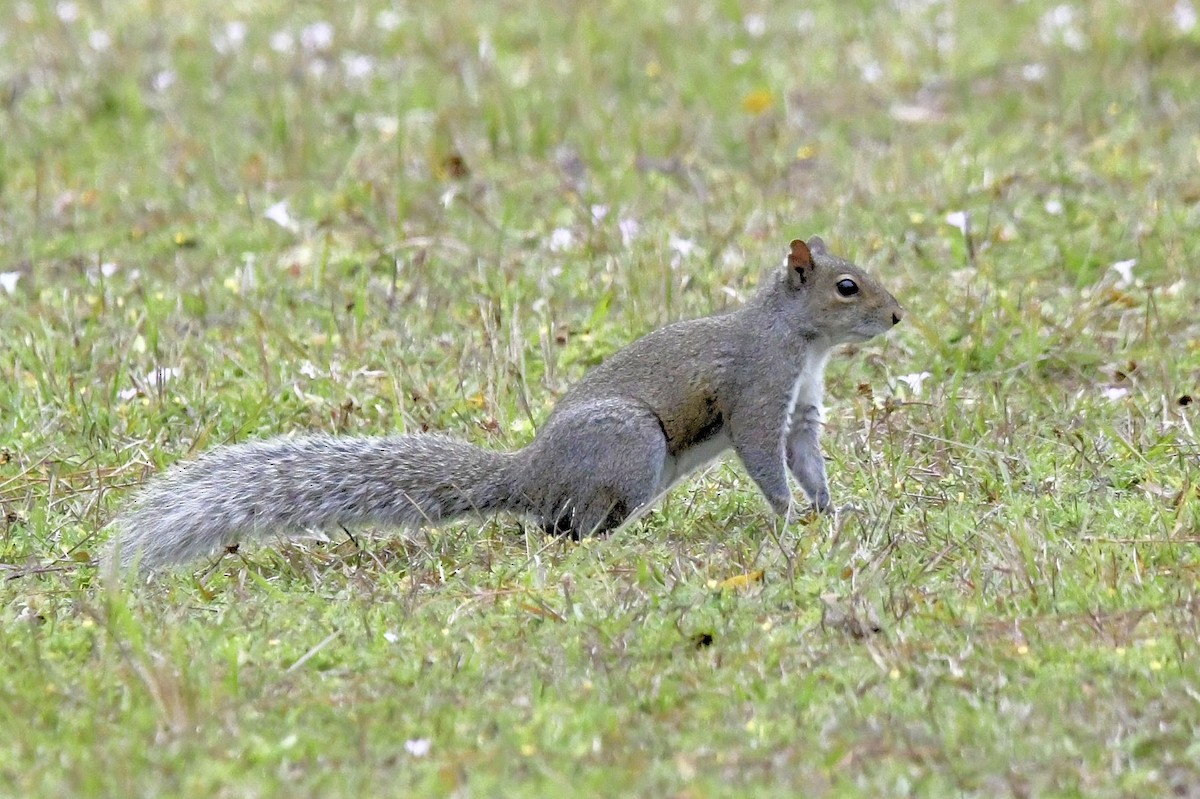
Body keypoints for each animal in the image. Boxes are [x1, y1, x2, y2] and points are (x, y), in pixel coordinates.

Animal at [106, 237, 903, 571]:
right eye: (847, 287)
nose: (897, 315)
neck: (800, 342)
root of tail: (530, 475)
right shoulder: (757, 391)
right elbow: (763, 456)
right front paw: (788, 517)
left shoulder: (801, 407)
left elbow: (805, 456)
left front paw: (830, 508)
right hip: (632, 447)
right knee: (575, 528)